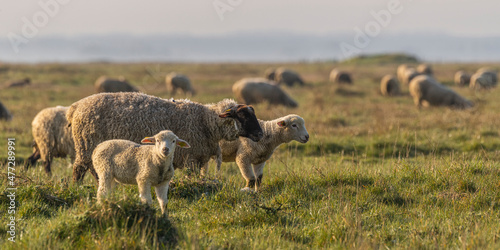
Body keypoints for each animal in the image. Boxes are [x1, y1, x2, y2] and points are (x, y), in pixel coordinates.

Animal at [67, 93, 264, 183]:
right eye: (243, 116)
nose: (260, 134)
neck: (205, 122)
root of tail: (76, 107)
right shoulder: (191, 157)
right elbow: (191, 177)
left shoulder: (200, 158)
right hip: (86, 145)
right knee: (79, 169)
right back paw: (76, 187)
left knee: (92, 169)